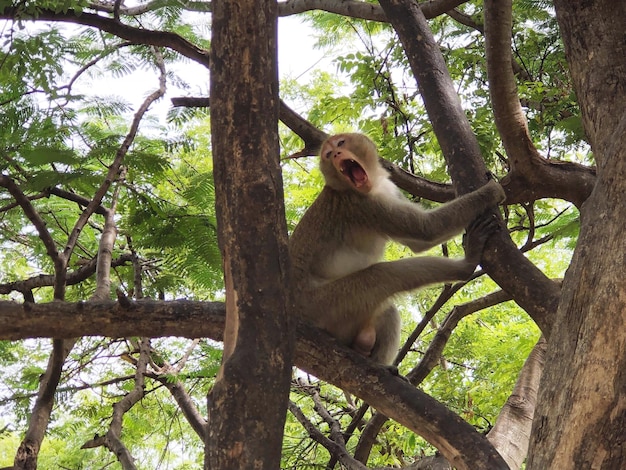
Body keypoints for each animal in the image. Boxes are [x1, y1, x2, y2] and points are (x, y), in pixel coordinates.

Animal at [290, 132, 504, 364]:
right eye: (328, 155)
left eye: (340, 143)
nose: (337, 154)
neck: (372, 184)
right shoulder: (363, 206)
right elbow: (426, 229)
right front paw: (493, 190)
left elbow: (418, 242)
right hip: (323, 305)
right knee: (382, 274)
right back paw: (466, 265)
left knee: (387, 308)